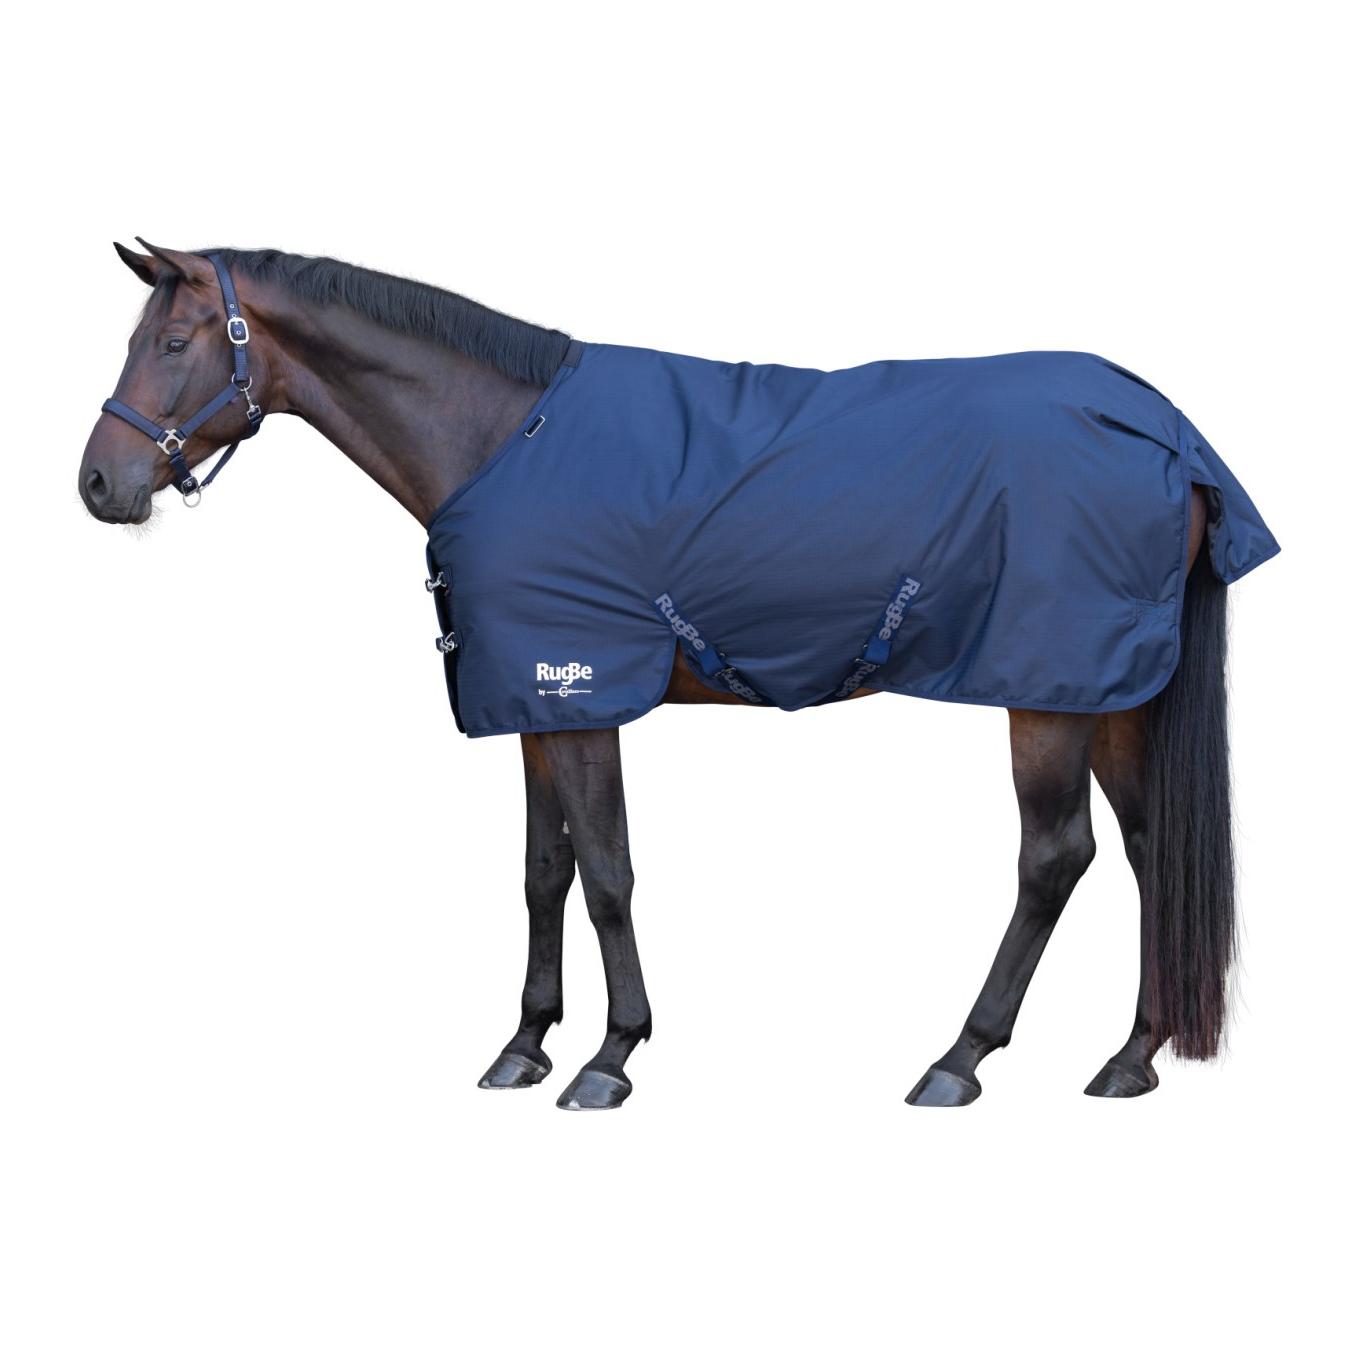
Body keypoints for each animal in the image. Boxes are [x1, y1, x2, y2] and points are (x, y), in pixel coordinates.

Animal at [78, 240, 1277, 1110]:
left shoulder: (581, 694)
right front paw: (523, 1044)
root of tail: (1168, 430)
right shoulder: (532, 701)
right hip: (1111, 696)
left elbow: (607, 873)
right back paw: (1130, 1055)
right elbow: (543, 873)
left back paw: (959, 1058)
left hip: (1046, 694)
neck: (504, 437)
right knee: (1151, 851)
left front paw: (609, 1057)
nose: (99, 482)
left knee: (1055, 857)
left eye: (175, 340)